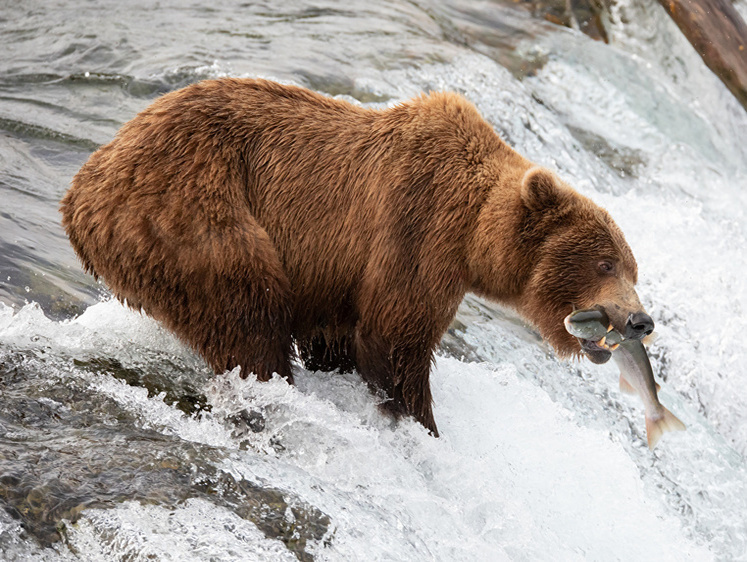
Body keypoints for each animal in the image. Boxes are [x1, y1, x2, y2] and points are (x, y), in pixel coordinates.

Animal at [60, 76, 656, 436]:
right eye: (605, 263)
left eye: (633, 268)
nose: (640, 320)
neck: (474, 234)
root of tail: (83, 186)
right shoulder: (416, 229)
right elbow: (395, 339)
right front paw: (421, 423)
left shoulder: (337, 275)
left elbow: (340, 336)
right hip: (191, 210)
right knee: (247, 310)